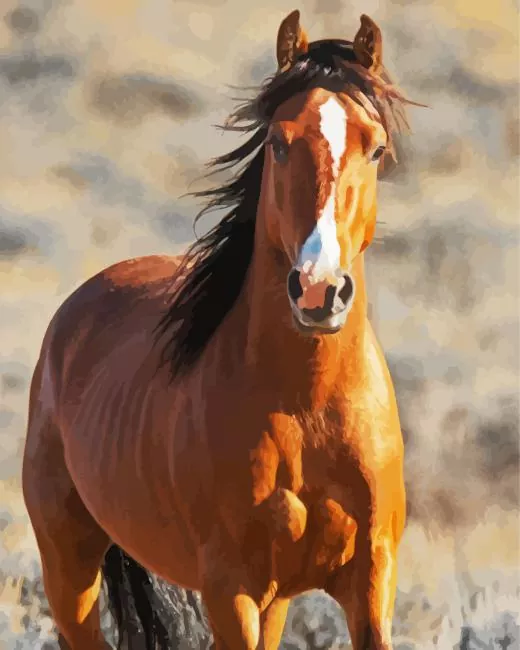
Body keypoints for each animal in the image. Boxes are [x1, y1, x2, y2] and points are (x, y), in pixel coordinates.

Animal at [22, 10, 421, 650]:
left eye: (377, 147)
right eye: (279, 143)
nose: (319, 287)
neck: (307, 405)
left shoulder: (370, 579)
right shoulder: (232, 592)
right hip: (68, 565)